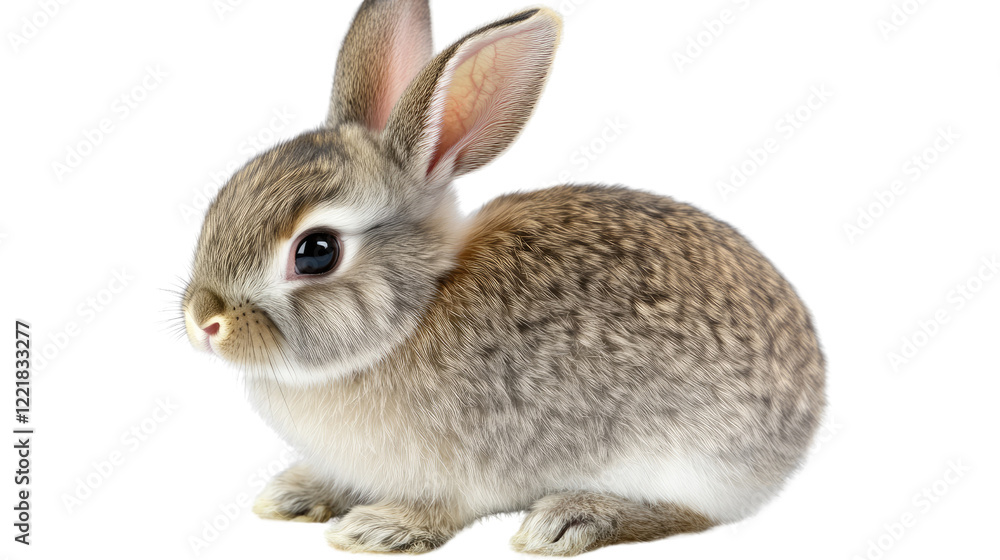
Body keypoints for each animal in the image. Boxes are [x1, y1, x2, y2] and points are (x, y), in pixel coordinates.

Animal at [181, 0, 826, 555]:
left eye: (316, 252)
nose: (203, 321)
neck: (415, 312)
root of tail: (810, 399)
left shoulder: (464, 469)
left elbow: (444, 509)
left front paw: (379, 529)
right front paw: (295, 495)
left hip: (692, 457)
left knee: (691, 513)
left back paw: (570, 520)